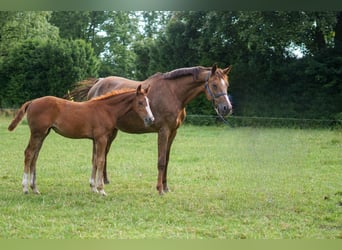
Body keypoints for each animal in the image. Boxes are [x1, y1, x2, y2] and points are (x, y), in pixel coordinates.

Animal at [7, 85, 154, 196]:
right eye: (141, 102)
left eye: (148, 102)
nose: (150, 119)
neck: (106, 110)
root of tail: (32, 101)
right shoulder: (101, 138)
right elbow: (101, 160)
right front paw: (101, 190)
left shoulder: (95, 139)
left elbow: (94, 160)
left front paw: (93, 187)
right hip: (37, 133)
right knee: (29, 154)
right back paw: (25, 188)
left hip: (43, 134)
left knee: (35, 156)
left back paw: (35, 188)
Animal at [67, 63, 232, 194]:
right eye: (214, 85)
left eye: (227, 85)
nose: (227, 108)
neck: (174, 93)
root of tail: (98, 83)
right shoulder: (163, 131)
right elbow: (161, 161)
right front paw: (159, 189)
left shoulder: (173, 132)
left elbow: (167, 159)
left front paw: (166, 187)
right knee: (97, 155)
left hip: (111, 131)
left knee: (104, 154)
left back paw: (105, 180)